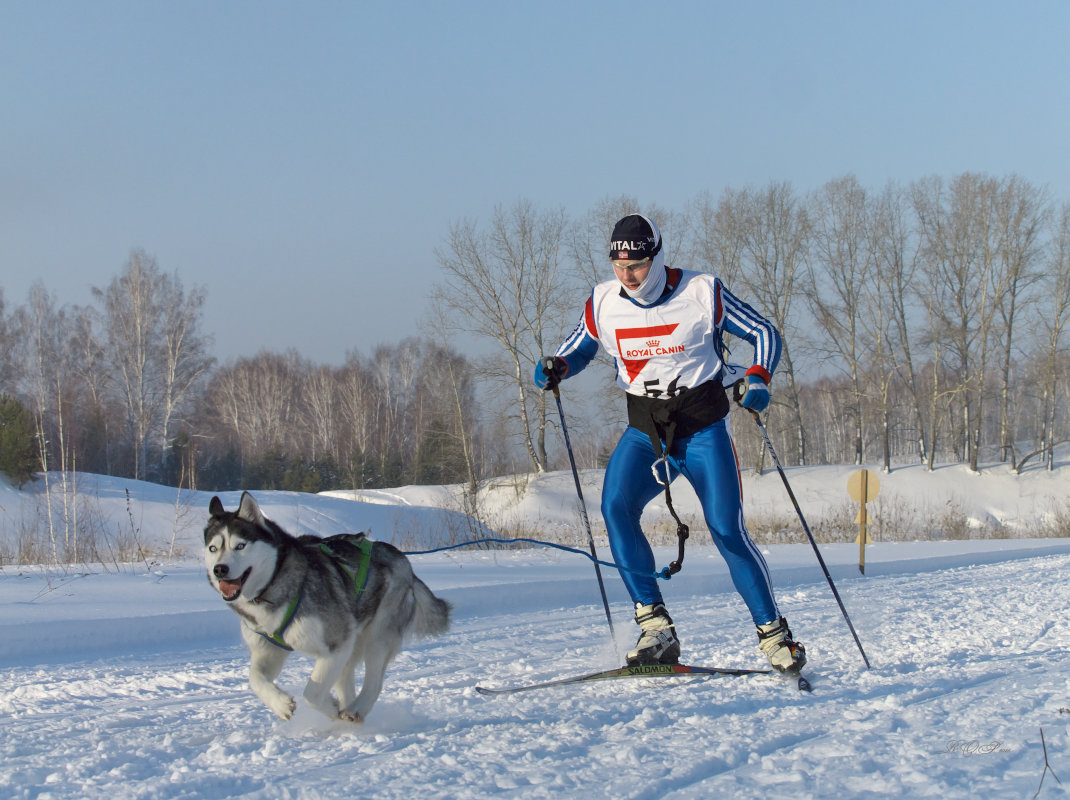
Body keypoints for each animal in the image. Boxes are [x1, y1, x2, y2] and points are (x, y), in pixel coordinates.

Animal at [204, 489, 451, 722]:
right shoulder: (268, 651)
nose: (220, 570)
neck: (272, 585)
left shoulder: (336, 645)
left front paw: (330, 708)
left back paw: (355, 709)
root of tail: (403, 560)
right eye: (213, 549)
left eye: (240, 546)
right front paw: (280, 704)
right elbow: (255, 678)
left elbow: (311, 693)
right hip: (354, 643)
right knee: (346, 679)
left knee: (374, 682)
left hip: (377, 638)